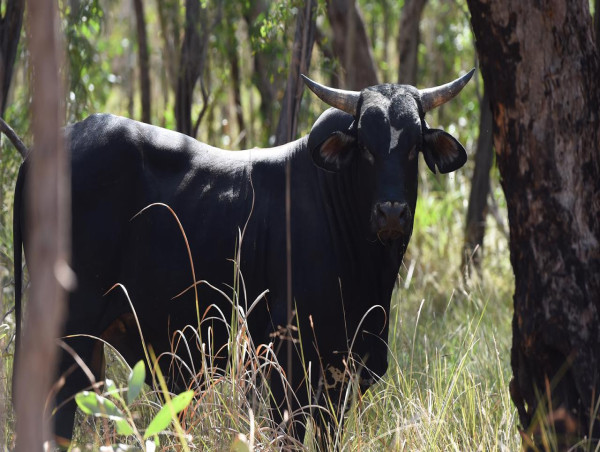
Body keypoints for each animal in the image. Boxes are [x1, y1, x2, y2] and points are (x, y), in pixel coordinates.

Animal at [11, 70, 474, 444]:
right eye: (366, 146)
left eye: (414, 145)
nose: (391, 212)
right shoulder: (288, 367)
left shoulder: (341, 377)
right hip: (68, 331)